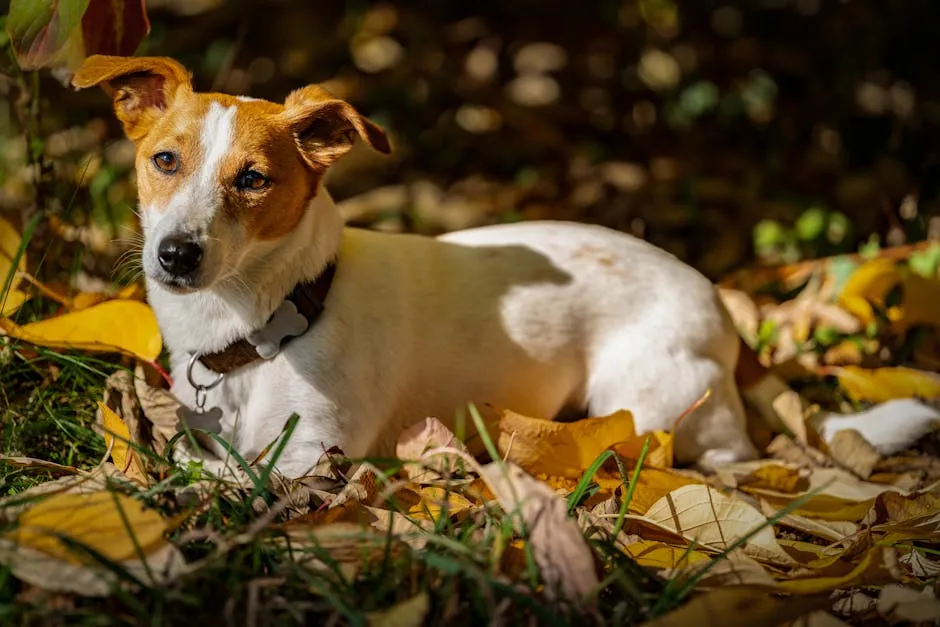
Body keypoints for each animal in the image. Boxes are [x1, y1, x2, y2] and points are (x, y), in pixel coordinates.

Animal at [75, 56, 940, 478]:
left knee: (729, 452)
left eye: (253, 179)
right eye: (163, 161)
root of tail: (719, 301)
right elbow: (189, 458)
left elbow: (225, 478)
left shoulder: (317, 452)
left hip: (646, 399)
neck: (270, 321)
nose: (175, 254)